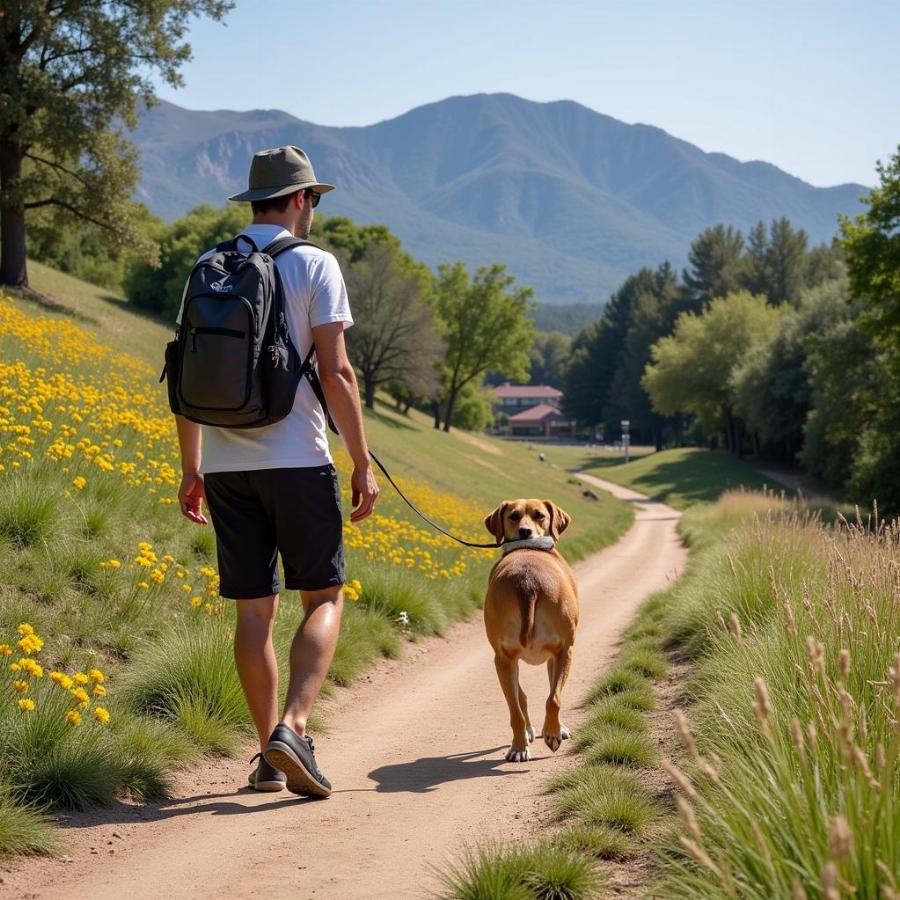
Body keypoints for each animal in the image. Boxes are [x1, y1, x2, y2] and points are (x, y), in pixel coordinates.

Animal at [482, 500, 580, 760]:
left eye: (539, 515)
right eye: (513, 516)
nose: (525, 531)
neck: (527, 548)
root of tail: (527, 582)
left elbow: (535, 697)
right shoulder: (558, 654)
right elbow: (551, 695)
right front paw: (553, 730)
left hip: (505, 659)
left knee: (519, 707)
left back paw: (520, 745)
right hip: (557, 651)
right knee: (548, 700)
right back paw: (543, 736)